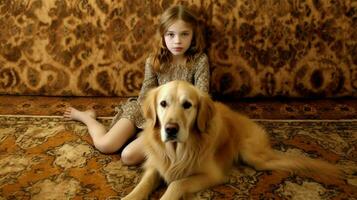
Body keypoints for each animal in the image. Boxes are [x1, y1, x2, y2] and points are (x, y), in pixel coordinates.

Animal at [121, 80, 340, 200]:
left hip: (254, 156)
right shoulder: (157, 165)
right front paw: (130, 196)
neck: (176, 151)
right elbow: (144, 183)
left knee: (285, 161)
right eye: (163, 104)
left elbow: (177, 183)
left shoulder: (213, 175)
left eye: (187, 105)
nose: (170, 130)